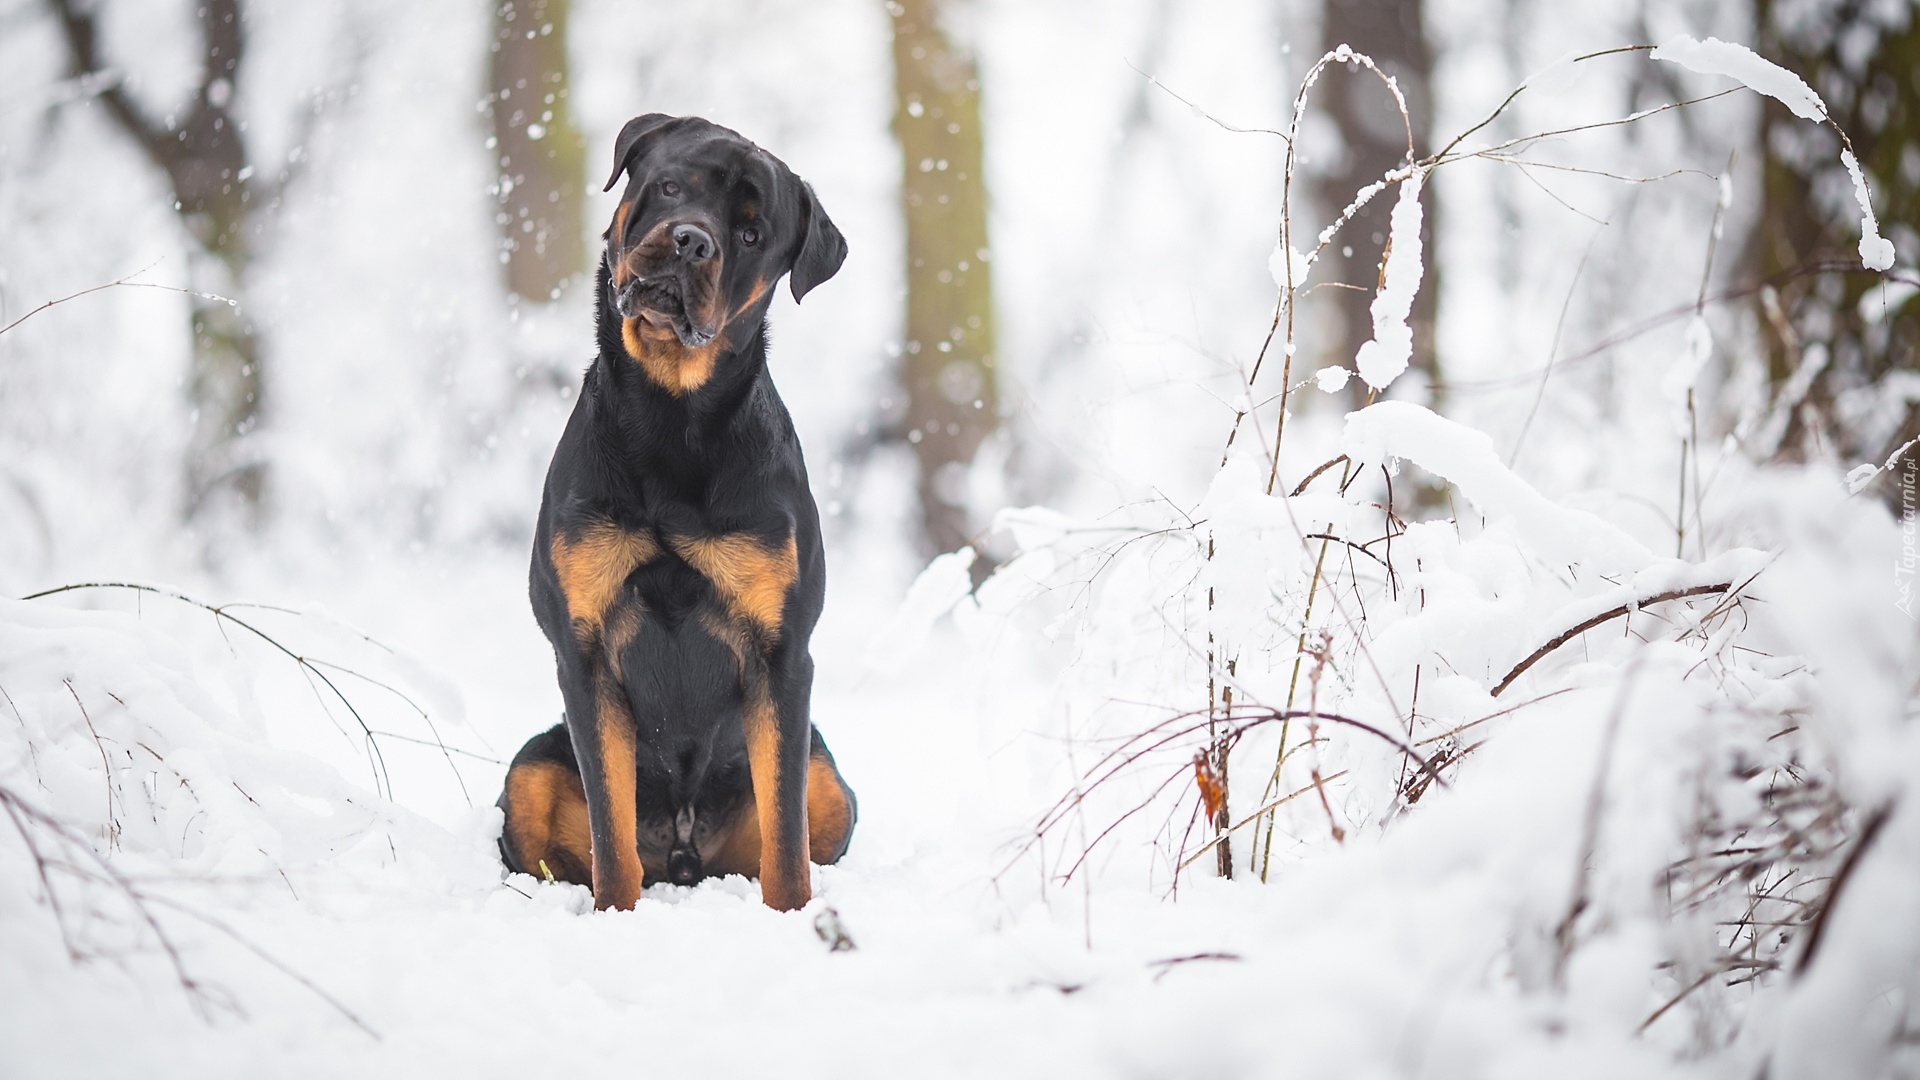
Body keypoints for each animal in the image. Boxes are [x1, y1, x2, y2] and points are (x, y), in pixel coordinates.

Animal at [495, 115, 856, 907]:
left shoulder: (782, 654)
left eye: (751, 233)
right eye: (667, 187)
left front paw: (792, 916)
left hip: (832, 783)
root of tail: (687, 859)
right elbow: (611, 828)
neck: (672, 416)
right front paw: (614, 913)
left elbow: (786, 836)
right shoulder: (584, 652)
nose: (691, 240)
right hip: (529, 768)